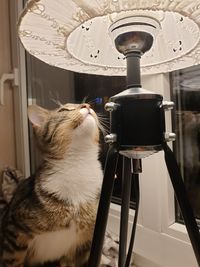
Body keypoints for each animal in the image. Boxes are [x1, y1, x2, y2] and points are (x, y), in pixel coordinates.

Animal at [0, 103, 103, 267]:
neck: (78, 166)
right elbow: (13, 261)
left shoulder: (85, 246)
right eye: (64, 110)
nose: (87, 105)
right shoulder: (14, 231)